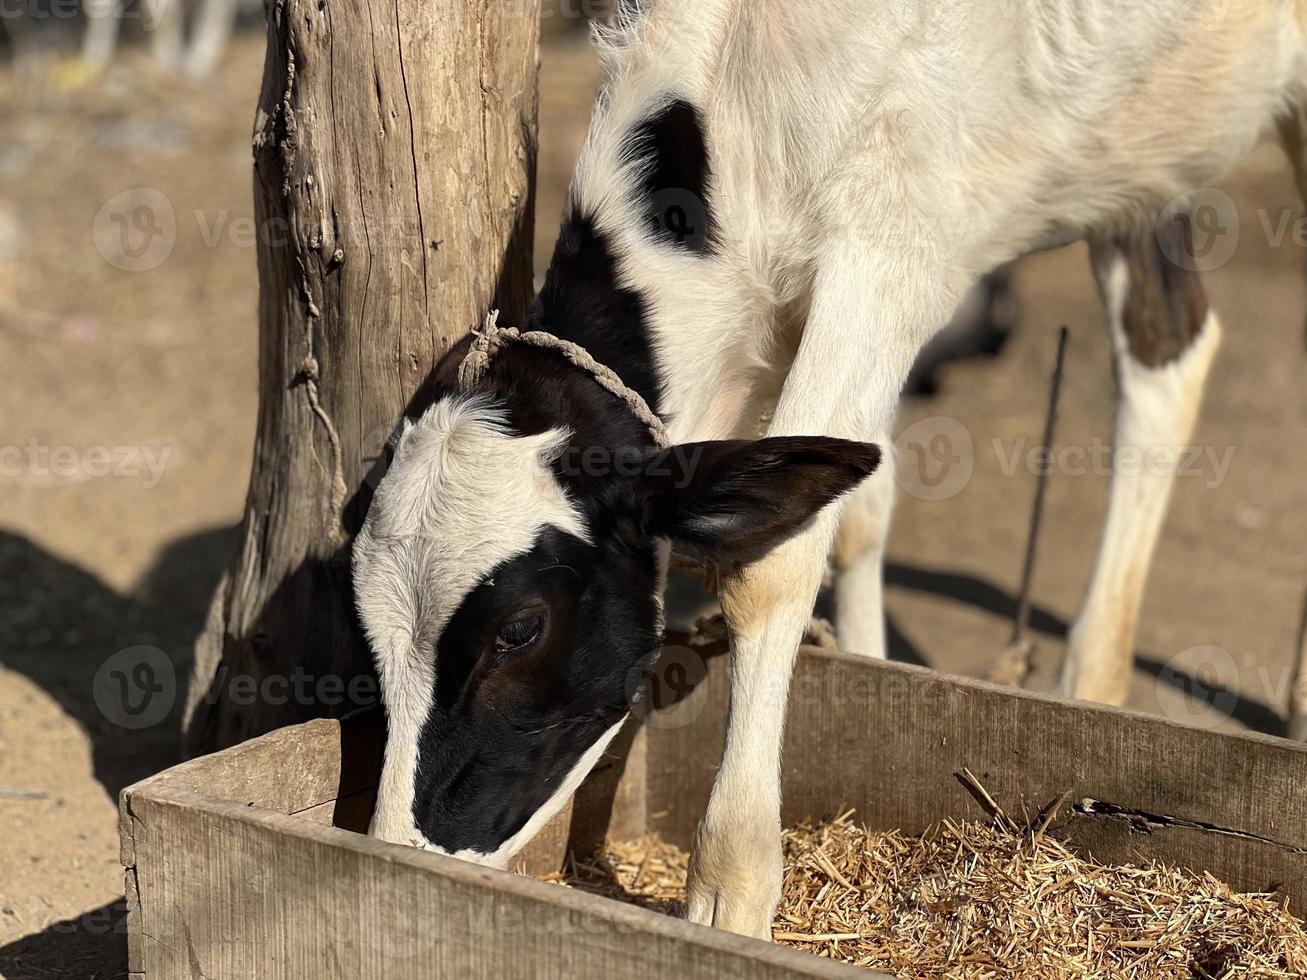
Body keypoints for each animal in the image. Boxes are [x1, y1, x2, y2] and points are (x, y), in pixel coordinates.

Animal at [355, 0, 1307, 935]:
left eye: (519, 630)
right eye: (364, 620)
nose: (399, 854)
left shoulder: (889, 248)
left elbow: (771, 563)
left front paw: (730, 891)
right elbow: (853, 504)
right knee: (1167, 344)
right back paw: (1095, 681)